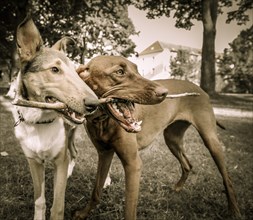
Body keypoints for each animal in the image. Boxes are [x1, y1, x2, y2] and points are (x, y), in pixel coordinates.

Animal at [72, 55, 239, 218]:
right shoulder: (104, 154)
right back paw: (178, 188)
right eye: (119, 72)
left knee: (228, 178)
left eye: (137, 69)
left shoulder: (133, 164)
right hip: (172, 139)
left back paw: (234, 210)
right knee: (187, 164)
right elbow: (96, 191)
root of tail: (202, 90)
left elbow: (129, 210)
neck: (102, 120)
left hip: (210, 141)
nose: (164, 93)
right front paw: (83, 213)